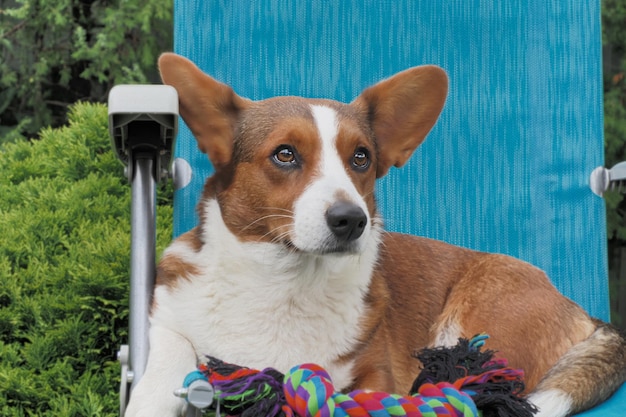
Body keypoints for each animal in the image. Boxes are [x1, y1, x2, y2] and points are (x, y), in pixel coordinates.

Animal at [123, 52, 624, 416]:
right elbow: (169, 357)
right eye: (284, 154)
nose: (351, 220)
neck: (286, 284)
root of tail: (581, 310)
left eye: (361, 157)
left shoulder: (375, 375)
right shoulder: (167, 319)